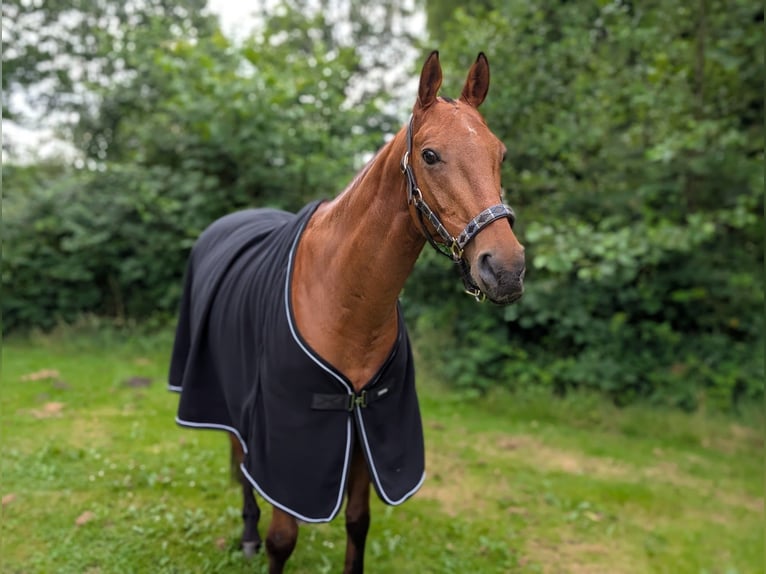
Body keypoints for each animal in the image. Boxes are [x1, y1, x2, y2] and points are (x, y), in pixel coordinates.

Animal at [168, 51, 525, 574]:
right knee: (240, 460)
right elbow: (282, 537)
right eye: (430, 155)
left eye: (500, 154)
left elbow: (358, 523)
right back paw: (247, 533)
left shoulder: (365, 423)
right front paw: (263, 539)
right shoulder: (287, 440)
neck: (346, 301)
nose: (506, 268)